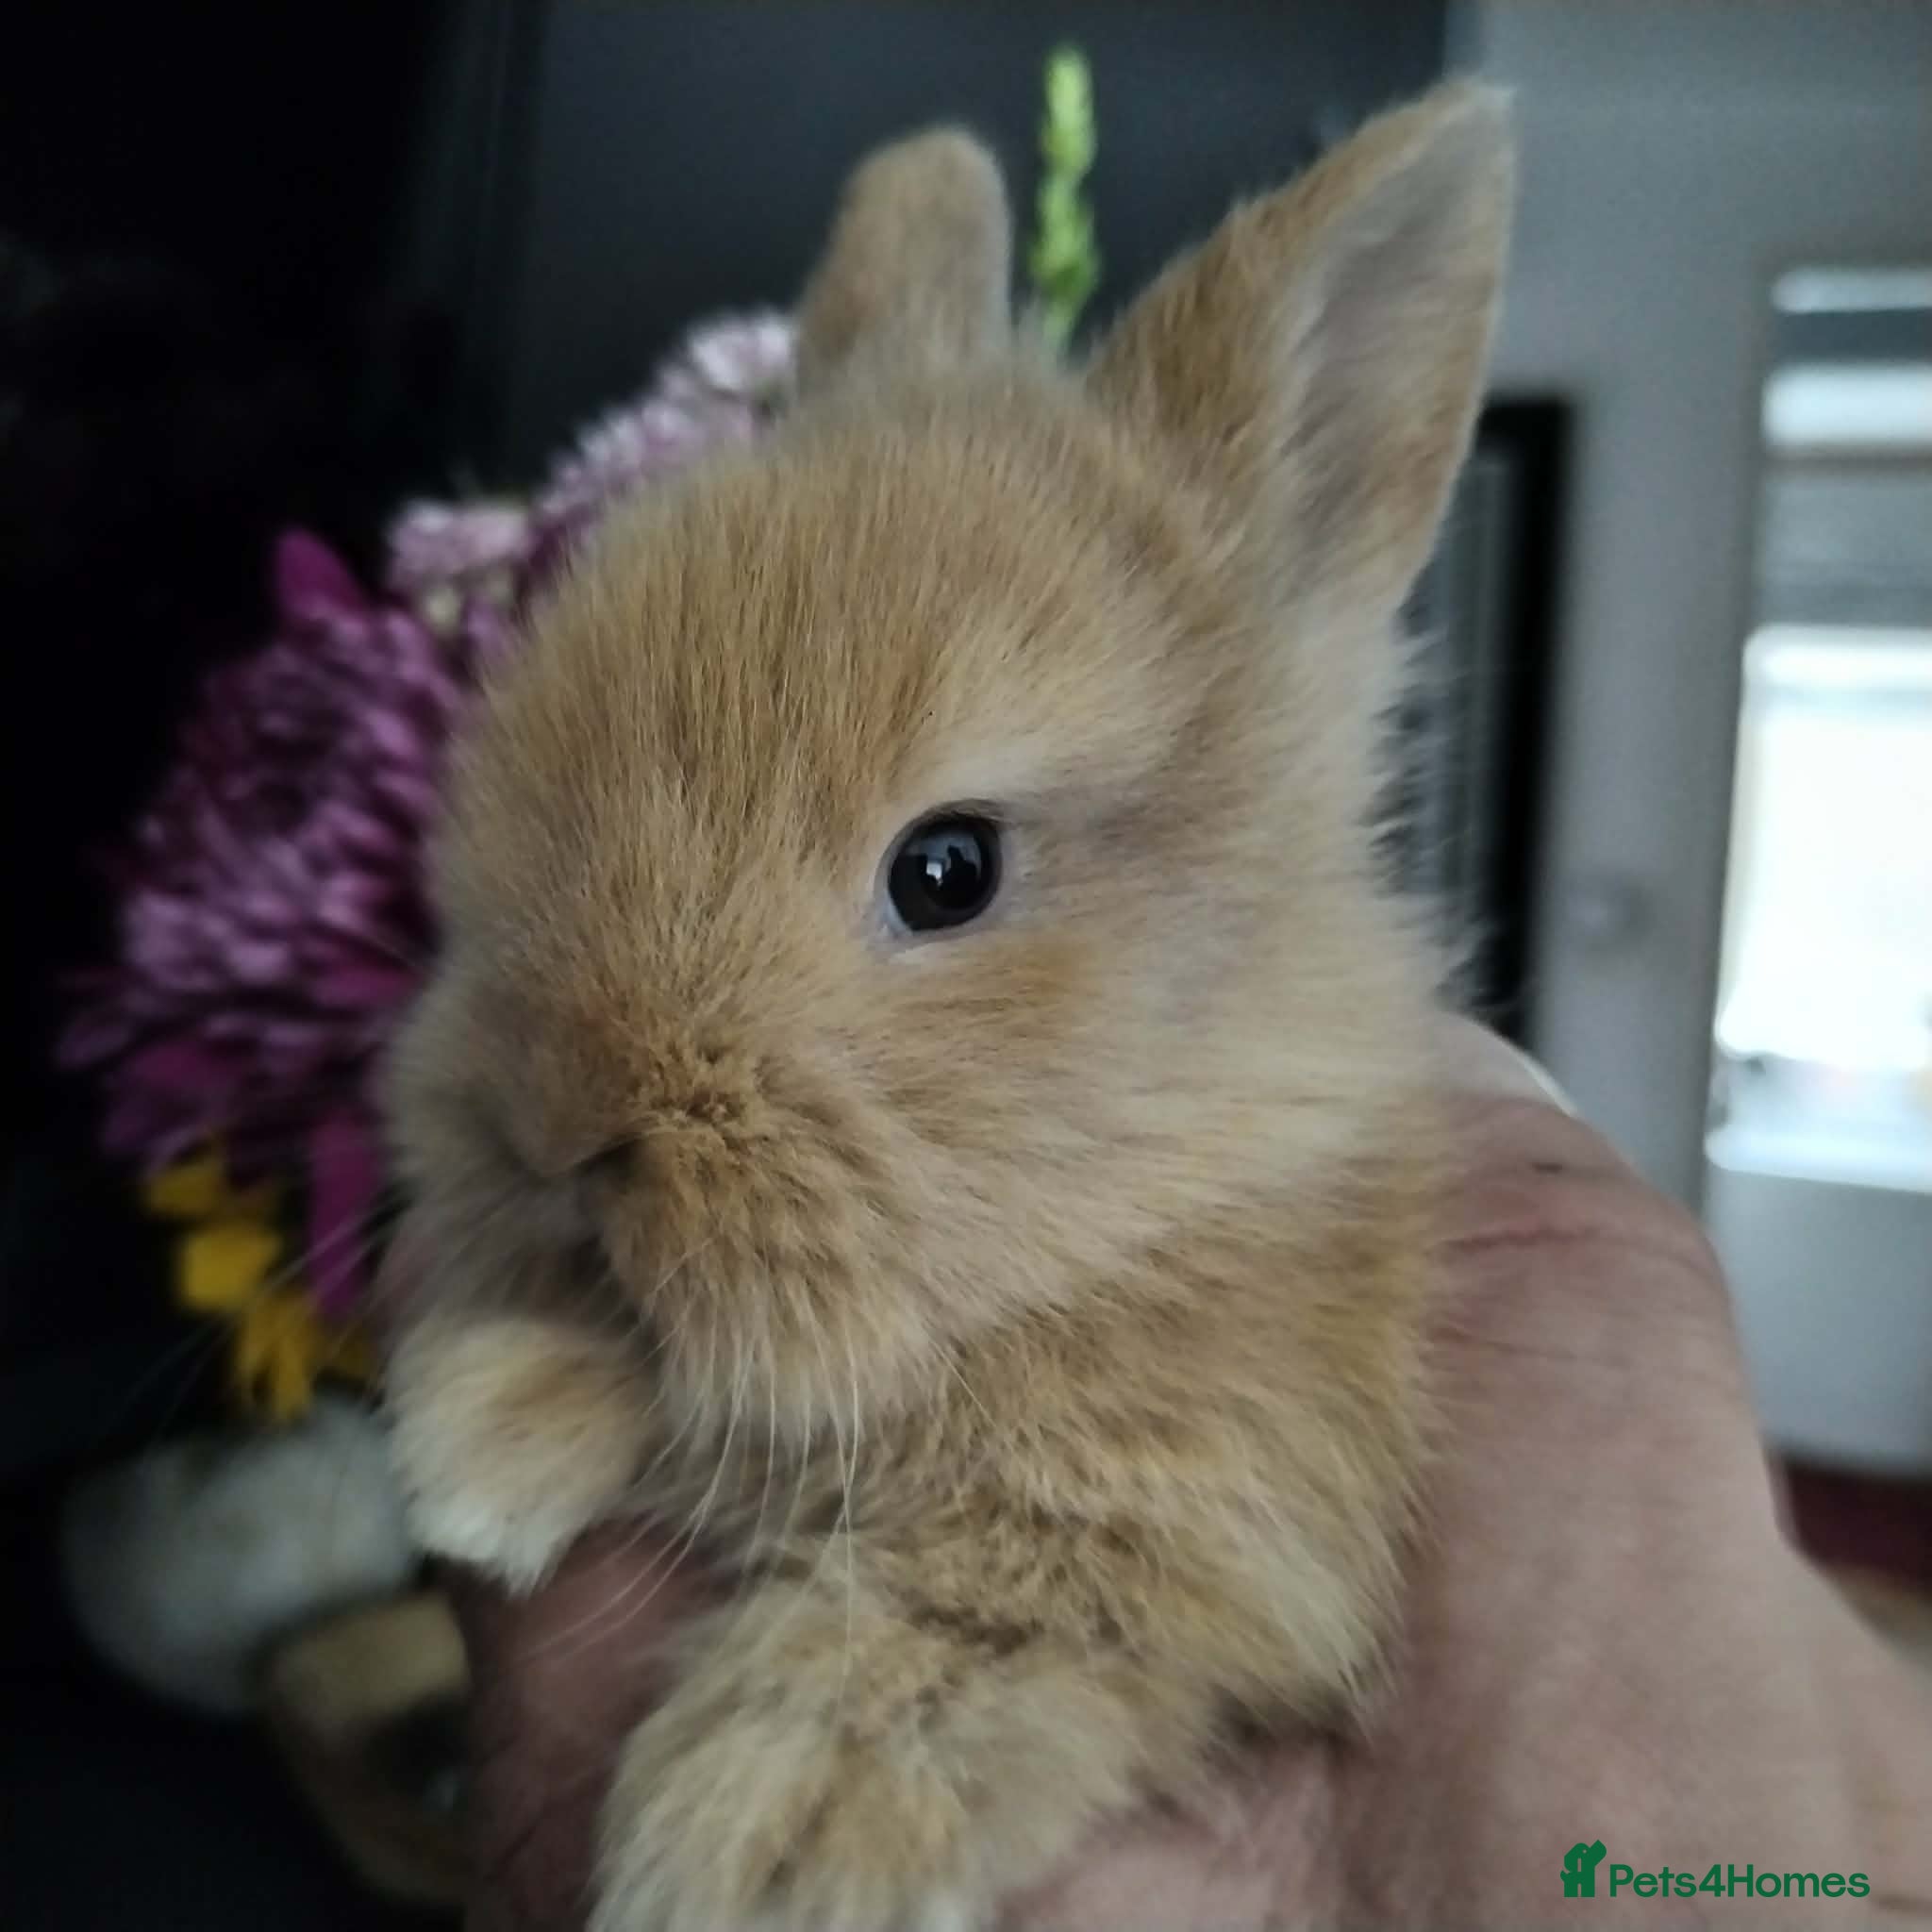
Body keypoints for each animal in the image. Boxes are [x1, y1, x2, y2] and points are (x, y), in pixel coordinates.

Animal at [382, 80, 1514, 1932]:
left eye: (947, 871)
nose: (553, 1119)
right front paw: (478, 1436)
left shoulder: (1207, 1521)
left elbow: (967, 1619)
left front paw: (770, 1837)